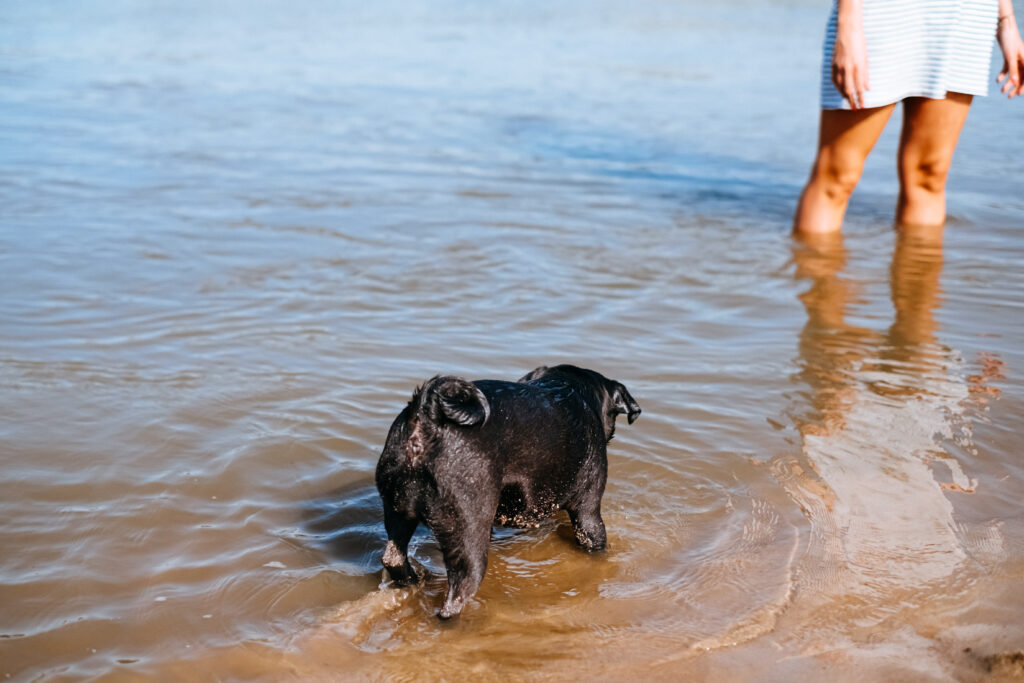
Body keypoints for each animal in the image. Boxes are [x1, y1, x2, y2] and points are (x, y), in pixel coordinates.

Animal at [372, 366, 634, 618]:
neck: (570, 387)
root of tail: (429, 413)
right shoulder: (588, 517)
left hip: (399, 514)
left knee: (394, 558)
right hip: (469, 544)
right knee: (454, 600)